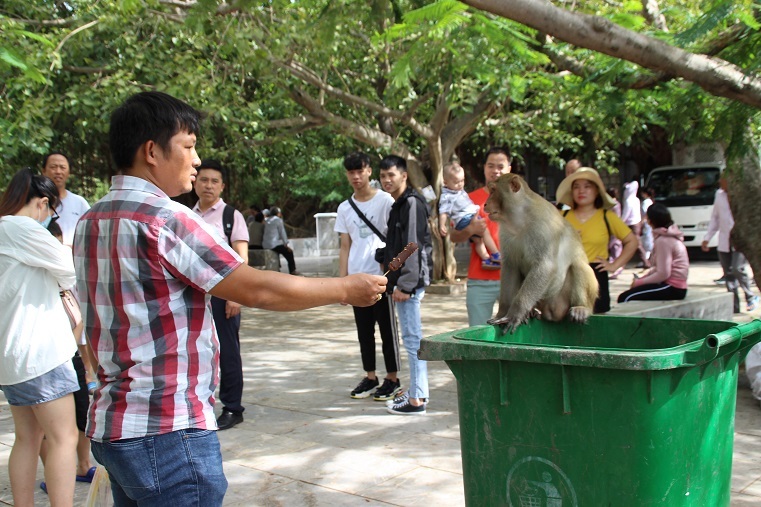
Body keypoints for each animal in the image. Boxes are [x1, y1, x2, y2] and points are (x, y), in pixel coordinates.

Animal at [480, 175, 600, 334]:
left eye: (493, 190)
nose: (485, 203)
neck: (519, 219)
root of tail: (551, 312)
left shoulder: (543, 226)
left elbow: (545, 265)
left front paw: (516, 312)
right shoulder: (505, 232)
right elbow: (511, 266)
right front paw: (503, 313)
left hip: (559, 299)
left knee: (579, 266)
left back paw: (582, 308)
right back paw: (531, 312)